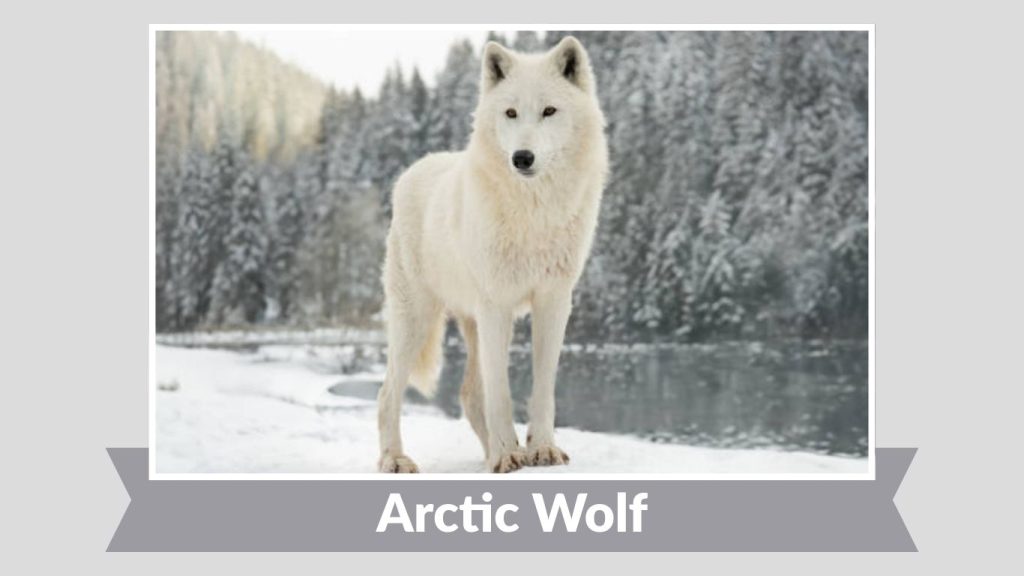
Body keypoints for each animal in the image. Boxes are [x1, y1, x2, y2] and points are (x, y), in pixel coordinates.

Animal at [377, 36, 608, 473]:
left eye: (549, 111)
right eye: (511, 113)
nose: (522, 157)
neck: (534, 212)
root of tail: (413, 169)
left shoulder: (554, 300)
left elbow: (542, 387)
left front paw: (540, 449)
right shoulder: (496, 304)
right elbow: (501, 392)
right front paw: (507, 455)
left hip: (470, 323)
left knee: (468, 394)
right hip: (416, 319)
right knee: (388, 393)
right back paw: (395, 459)